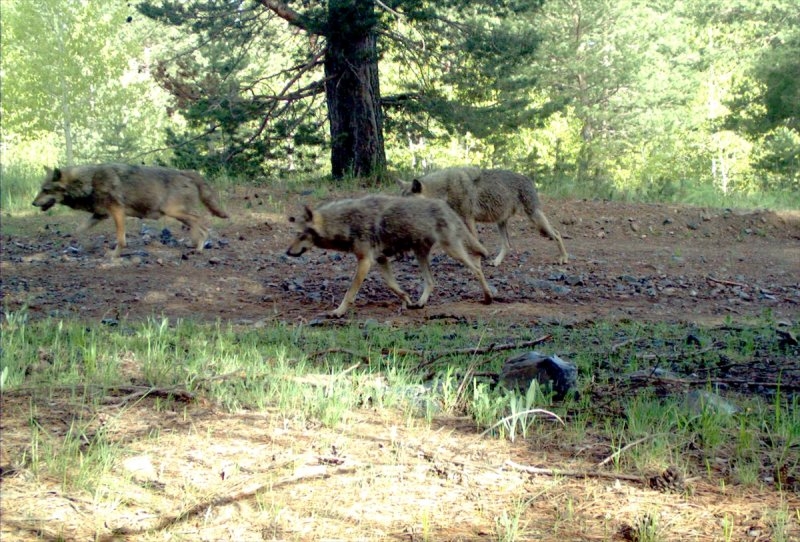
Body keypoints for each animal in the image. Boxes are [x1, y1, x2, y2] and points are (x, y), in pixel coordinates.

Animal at [32, 164, 228, 258]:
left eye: (46, 190)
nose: (33, 203)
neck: (88, 182)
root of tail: (186, 172)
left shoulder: (117, 212)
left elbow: (121, 240)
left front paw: (114, 255)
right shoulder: (100, 215)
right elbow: (78, 231)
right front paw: (86, 246)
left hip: (174, 212)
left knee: (202, 221)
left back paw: (200, 246)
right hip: (178, 215)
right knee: (198, 224)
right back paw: (196, 245)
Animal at [284, 197, 496, 318]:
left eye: (300, 235)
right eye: (294, 234)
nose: (287, 252)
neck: (345, 223)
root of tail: (445, 206)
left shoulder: (365, 261)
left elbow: (350, 293)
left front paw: (338, 312)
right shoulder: (380, 260)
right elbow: (392, 285)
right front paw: (407, 300)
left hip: (452, 251)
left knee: (477, 269)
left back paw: (488, 297)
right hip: (420, 254)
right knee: (431, 282)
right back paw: (420, 303)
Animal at [396, 167, 564, 266]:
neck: (445, 189)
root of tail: (528, 179)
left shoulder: (468, 219)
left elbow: (474, 242)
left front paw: (478, 258)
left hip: (535, 220)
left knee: (557, 234)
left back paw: (564, 258)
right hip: (501, 223)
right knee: (507, 245)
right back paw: (496, 262)